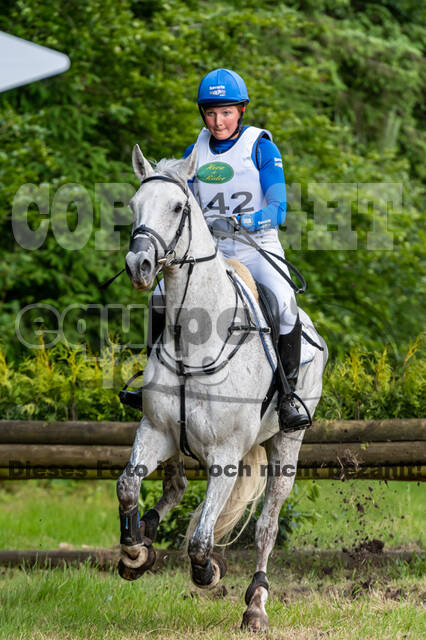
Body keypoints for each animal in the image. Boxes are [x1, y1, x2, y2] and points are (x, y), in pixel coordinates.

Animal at [117, 143, 328, 631]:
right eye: (134, 206)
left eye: (178, 207)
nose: (139, 265)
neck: (195, 337)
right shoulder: (154, 431)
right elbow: (128, 487)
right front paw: (135, 554)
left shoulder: (226, 455)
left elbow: (201, 540)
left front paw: (208, 572)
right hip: (178, 442)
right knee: (175, 485)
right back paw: (148, 533)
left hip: (287, 444)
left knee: (267, 526)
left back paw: (256, 605)